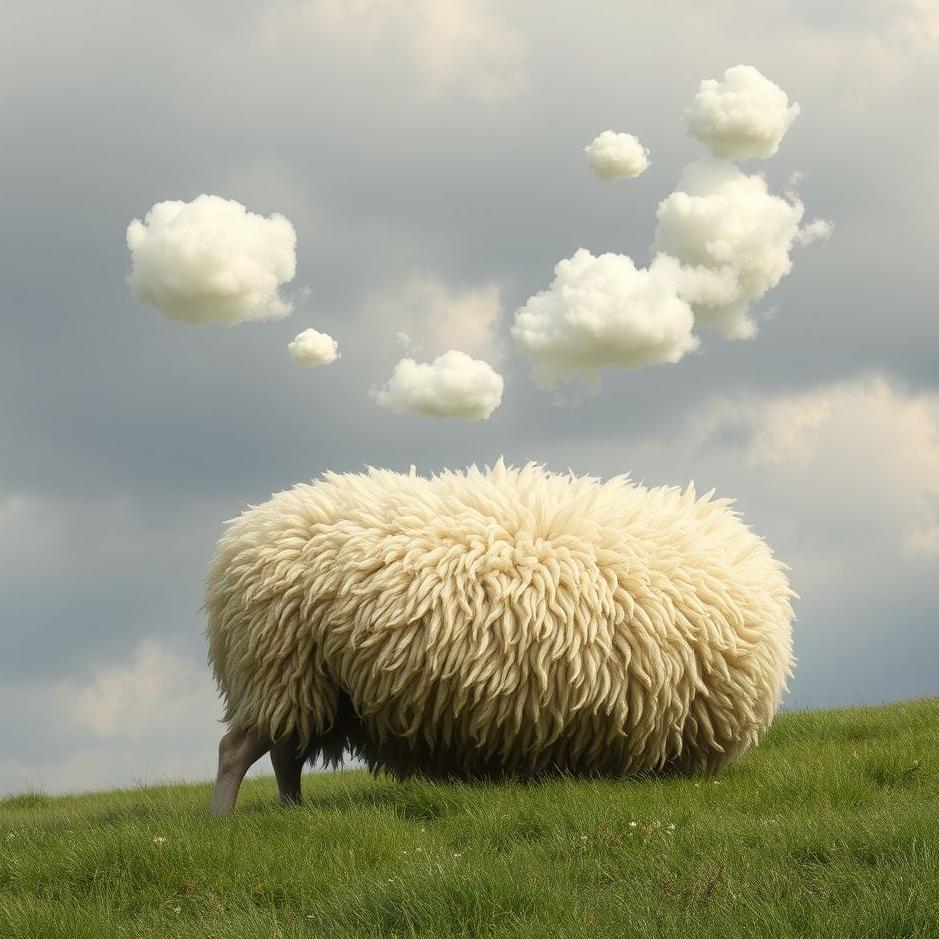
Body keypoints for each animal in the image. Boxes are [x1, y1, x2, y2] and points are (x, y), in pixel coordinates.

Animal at [205, 459, 794, 814]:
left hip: (310, 682)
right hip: (278, 665)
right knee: (236, 750)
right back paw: (222, 822)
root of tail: (239, 540)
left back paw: (293, 814)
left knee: (285, 754)